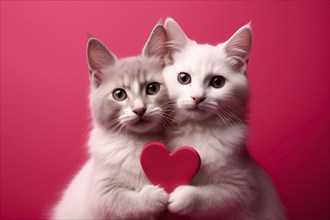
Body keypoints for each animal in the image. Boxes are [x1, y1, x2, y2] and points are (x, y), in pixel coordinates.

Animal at [51, 23, 171, 219]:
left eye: (152, 88)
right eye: (119, 94)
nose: (139, 109)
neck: (140, 142)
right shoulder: (100, 193)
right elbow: (121, 201)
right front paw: (155, 195)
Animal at [161, 18, 284, 219]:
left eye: (217, 82)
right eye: (183, 78)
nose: (198, 98)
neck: (197, 131)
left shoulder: (242, 187)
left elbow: (212, 196)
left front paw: (182, 197)